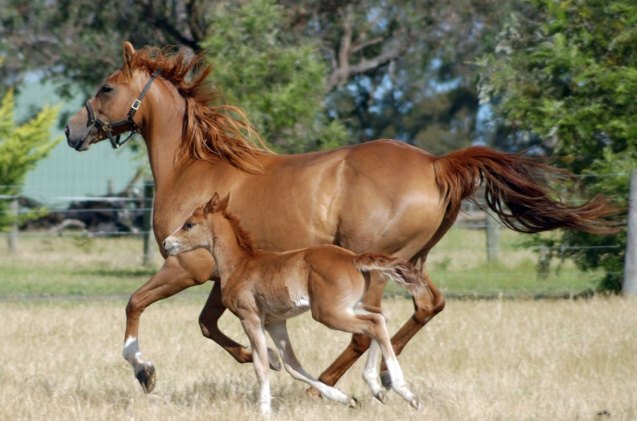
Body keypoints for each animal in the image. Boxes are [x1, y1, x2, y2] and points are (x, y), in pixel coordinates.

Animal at [161, 192, 424, 412]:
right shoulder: (275, 323)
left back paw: (405, 393)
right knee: (379, 318)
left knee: (373, 324)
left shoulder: (250, 318)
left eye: (189, 224)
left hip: (327, 313)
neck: (240, 265)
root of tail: (354, 258)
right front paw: (345, 399)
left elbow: (261, 365)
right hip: (350, 307)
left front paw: (264, 411)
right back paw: (378, 387)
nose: (166, 243)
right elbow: (291, 365)